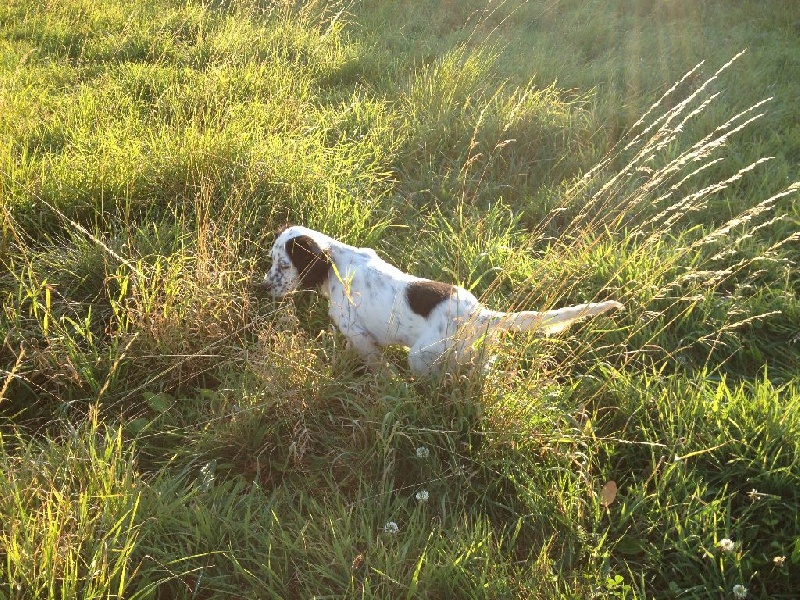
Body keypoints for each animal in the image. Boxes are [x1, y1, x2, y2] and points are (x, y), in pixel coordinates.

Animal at [260, 225, 620, 376]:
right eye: (272, 261)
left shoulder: (359, 333)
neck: (335, 260)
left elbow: (378, 365)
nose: (262, 287)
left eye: (283, 265)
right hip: (473, 355)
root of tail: (482, 315)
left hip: (422, 356)